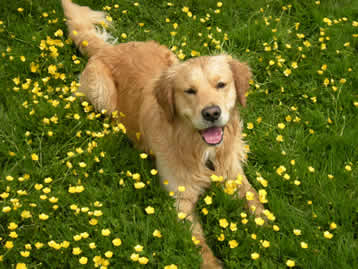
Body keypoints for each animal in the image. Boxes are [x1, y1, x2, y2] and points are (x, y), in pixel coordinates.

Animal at [61, 1, 264, 266]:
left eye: (221, 84)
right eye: (189, 91)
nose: (212, 113)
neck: (203, 152)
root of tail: (108, 49)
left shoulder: (233, 173)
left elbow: (254, 197)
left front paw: (269, 227)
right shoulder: (181, 200)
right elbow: (200, 245)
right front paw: (212, 264)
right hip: (102, 95)